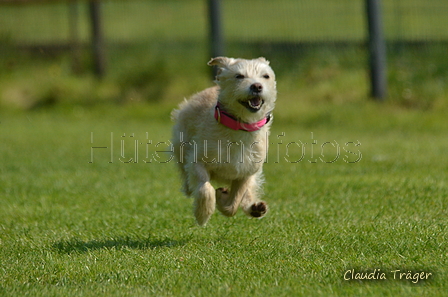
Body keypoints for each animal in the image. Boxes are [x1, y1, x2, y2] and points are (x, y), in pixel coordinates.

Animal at [172, 57, 276, 224]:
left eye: (266, 76)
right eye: (239, 76)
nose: (257, 86)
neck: (239, 127)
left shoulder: (246, 172)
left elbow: (234, 204)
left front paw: (223, 198)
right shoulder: (197, 162)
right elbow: (205, 188)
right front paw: (203, 213)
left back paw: (254, 208)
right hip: (181, 147)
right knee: (187, 176)